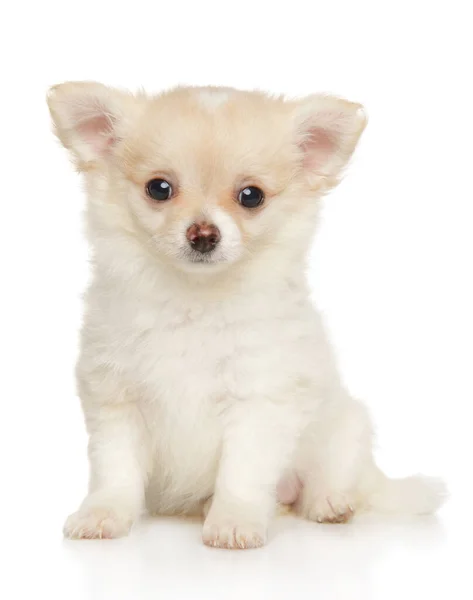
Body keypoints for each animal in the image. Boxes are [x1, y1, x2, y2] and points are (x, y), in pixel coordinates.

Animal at [48, 83, 446, 548]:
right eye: (159, 188)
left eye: (250, 196)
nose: (203, 234)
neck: (195, 299)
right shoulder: (117, 400)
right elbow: (116, 470)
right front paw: (103, 514)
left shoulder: (259, 401)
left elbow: (241, 472)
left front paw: (233, 521)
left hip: (346, 429)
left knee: (336, 478)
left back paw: (329, 503)